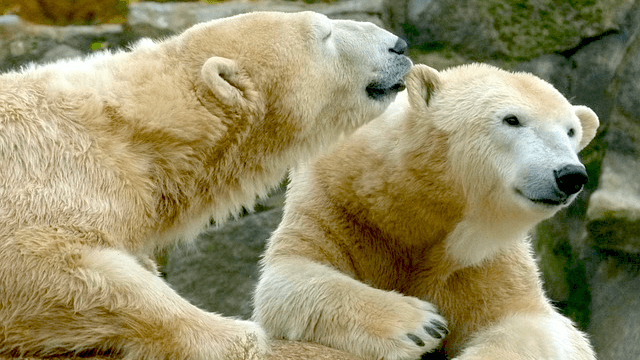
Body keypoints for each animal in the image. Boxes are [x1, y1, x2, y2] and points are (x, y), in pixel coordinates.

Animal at [255, 63, 600, 358]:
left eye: (571, 131)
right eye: (512, 119)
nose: (570, 174)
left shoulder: (483, 257)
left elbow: (531, 323)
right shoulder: (336, 201)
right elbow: (289, 277)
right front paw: (422, 326)